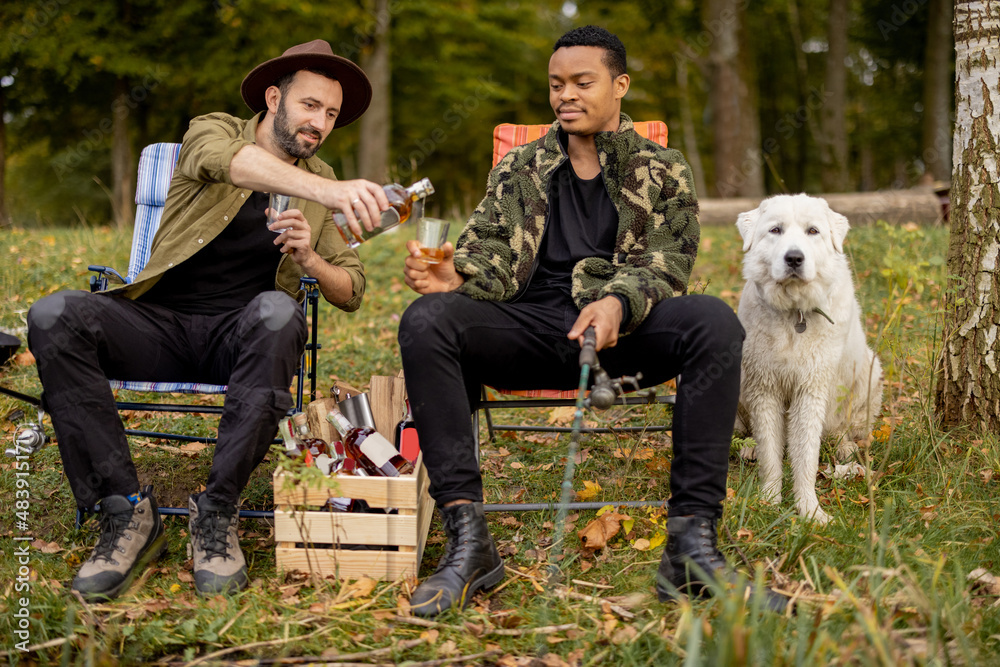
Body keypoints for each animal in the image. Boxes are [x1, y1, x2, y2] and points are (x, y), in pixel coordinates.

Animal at [736, 194, 884, 528]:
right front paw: (769, 501)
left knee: (844, 427)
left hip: (867, 374)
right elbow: (771, 452)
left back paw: (845, 448)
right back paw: (748, 448)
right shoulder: (764, 388)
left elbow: (805, 457)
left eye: (812, 231)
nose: (794, 258)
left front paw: (810, 510)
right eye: (775, 230)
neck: (795, 314)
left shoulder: (811, 390)